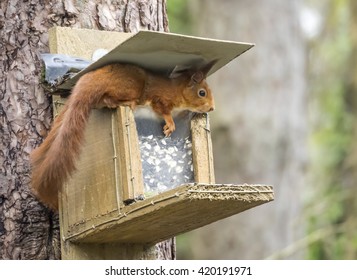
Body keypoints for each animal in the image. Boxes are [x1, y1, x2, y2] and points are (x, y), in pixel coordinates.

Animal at [29, 61, 214, 210]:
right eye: (202, 93)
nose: (212, 108)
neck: (177, 91)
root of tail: (94, 77)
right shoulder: (159, 99)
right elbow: (163, 110)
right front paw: (170, 124)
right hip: (131, 87)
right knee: (109, 98)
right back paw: (128, 103)